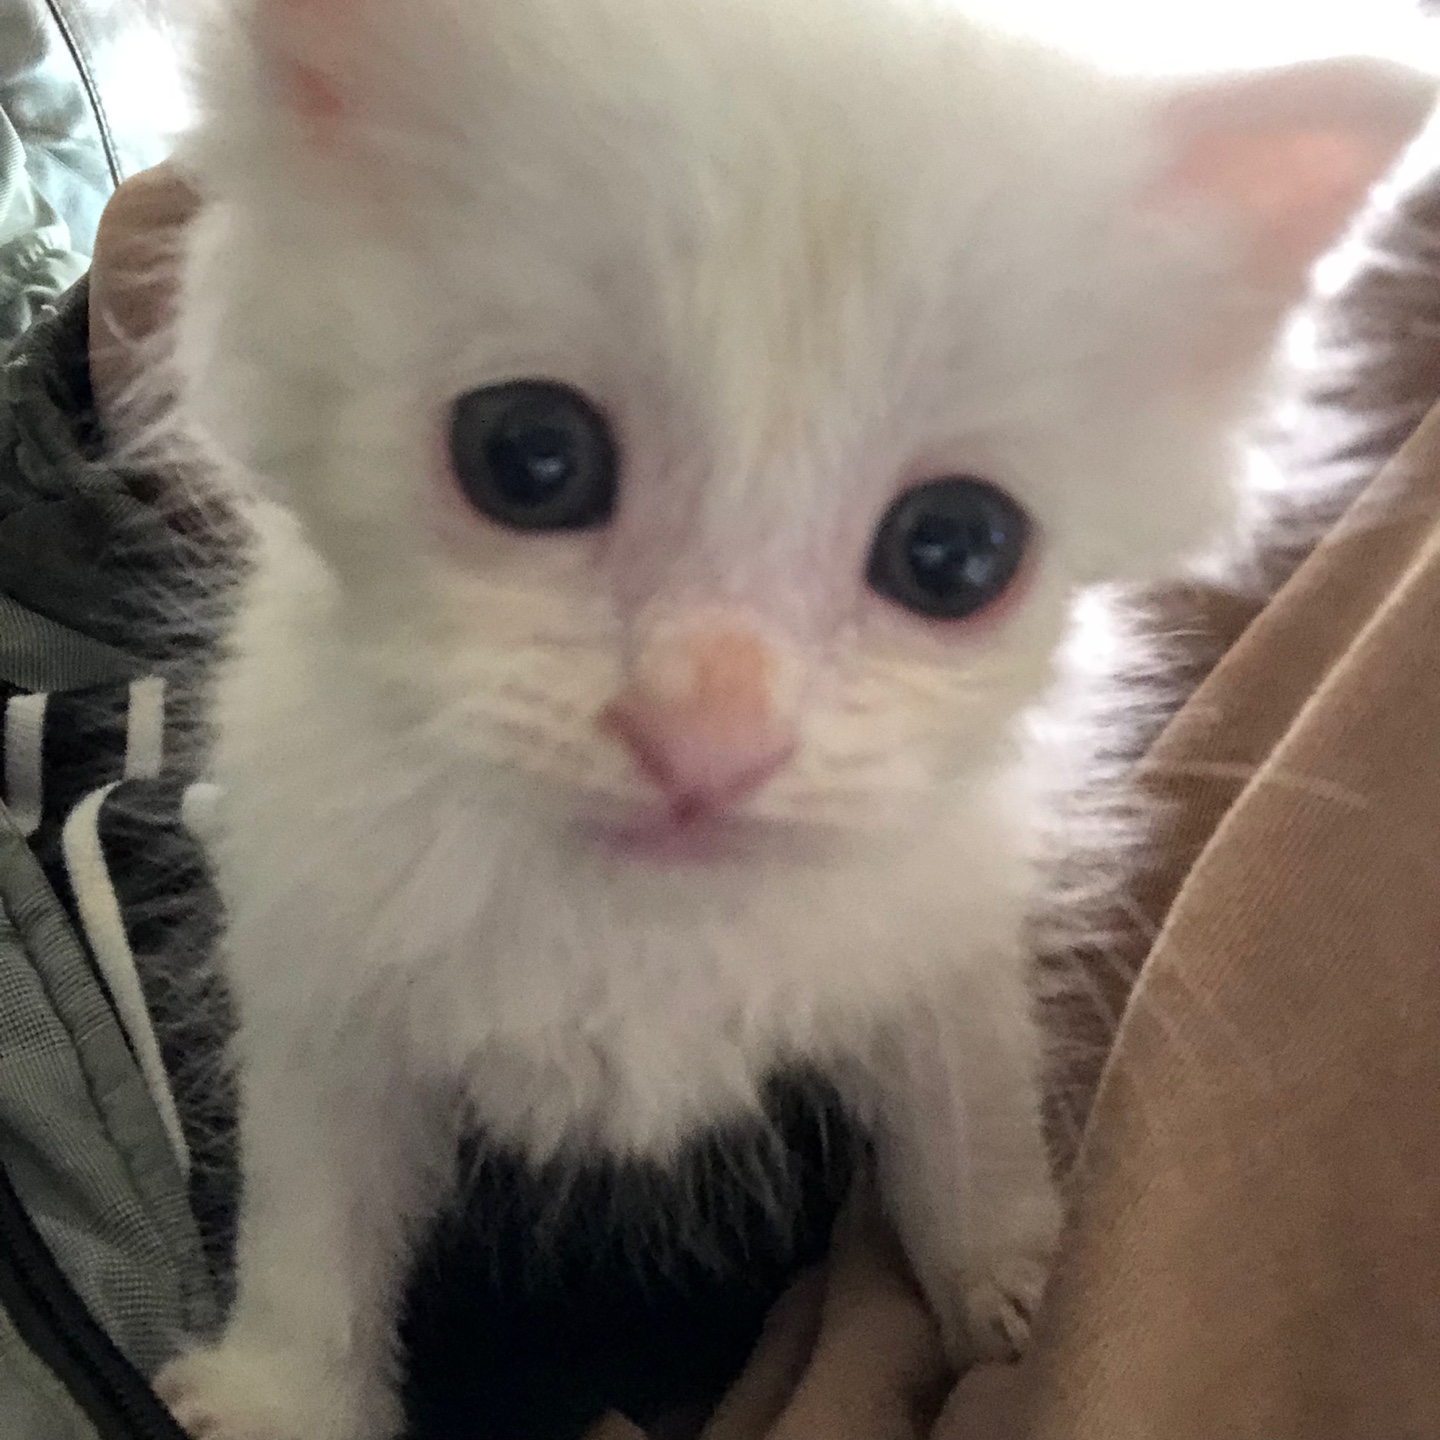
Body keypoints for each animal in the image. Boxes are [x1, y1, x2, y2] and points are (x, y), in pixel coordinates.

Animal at [150, 0, 1435, 1436]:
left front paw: (1012, 1286)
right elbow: (312, 1223)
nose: (708, 738)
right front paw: (281, 1397)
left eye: (954, 553)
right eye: (530, 456)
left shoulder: (946, 933)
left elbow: (968, 1114)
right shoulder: (319, 984)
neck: (642, 920)